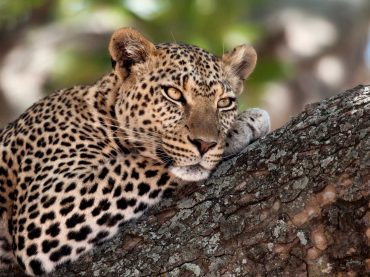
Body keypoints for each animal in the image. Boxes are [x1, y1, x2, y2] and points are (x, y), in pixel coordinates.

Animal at [0, 27, 268, 274]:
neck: (103, 111)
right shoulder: (45, 208)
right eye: (173, 94)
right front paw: (243, 127)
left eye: (224, 103)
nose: (205, 144)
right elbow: (139, 163)